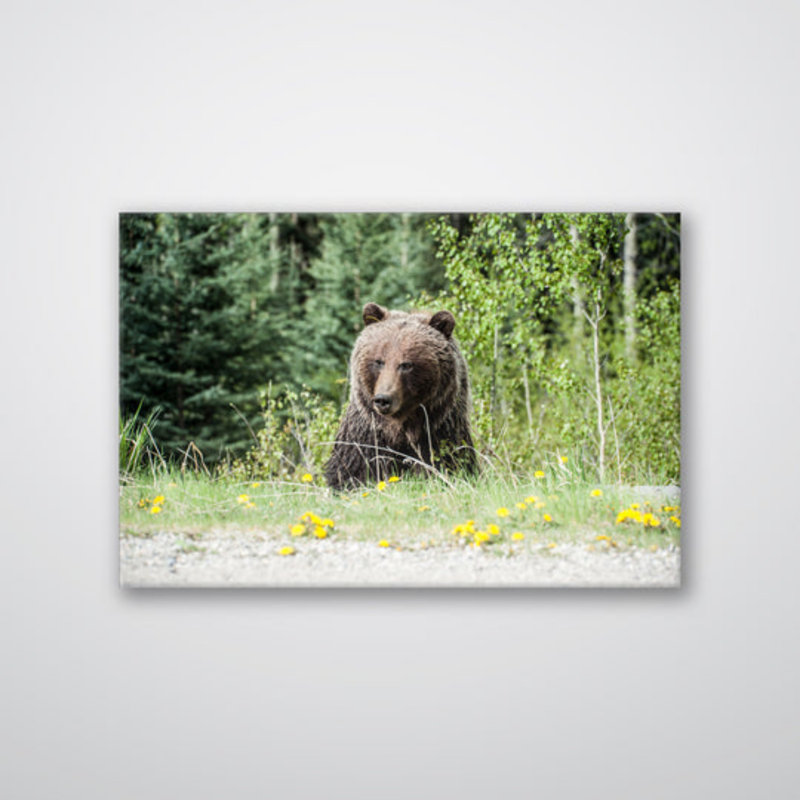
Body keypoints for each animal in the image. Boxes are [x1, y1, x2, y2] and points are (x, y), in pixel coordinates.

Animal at [324, 301, 477, 490]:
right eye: (379, 361)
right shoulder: (365, 439)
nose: (383, 399)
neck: (401, 429)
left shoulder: (439, 434)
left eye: (406, 364)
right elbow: (349, 473)